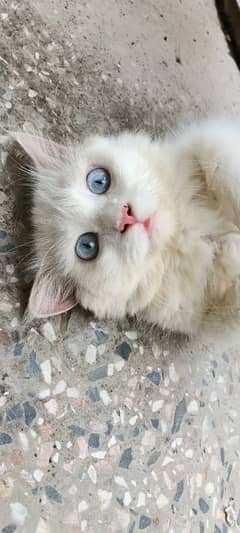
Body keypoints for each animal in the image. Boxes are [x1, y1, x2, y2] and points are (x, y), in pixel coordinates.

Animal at [8, 119, 240, 336]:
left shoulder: (204, 142)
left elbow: (219, 159)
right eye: (87, 246)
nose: (125, 218)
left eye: (98, 181)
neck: (181, 228)